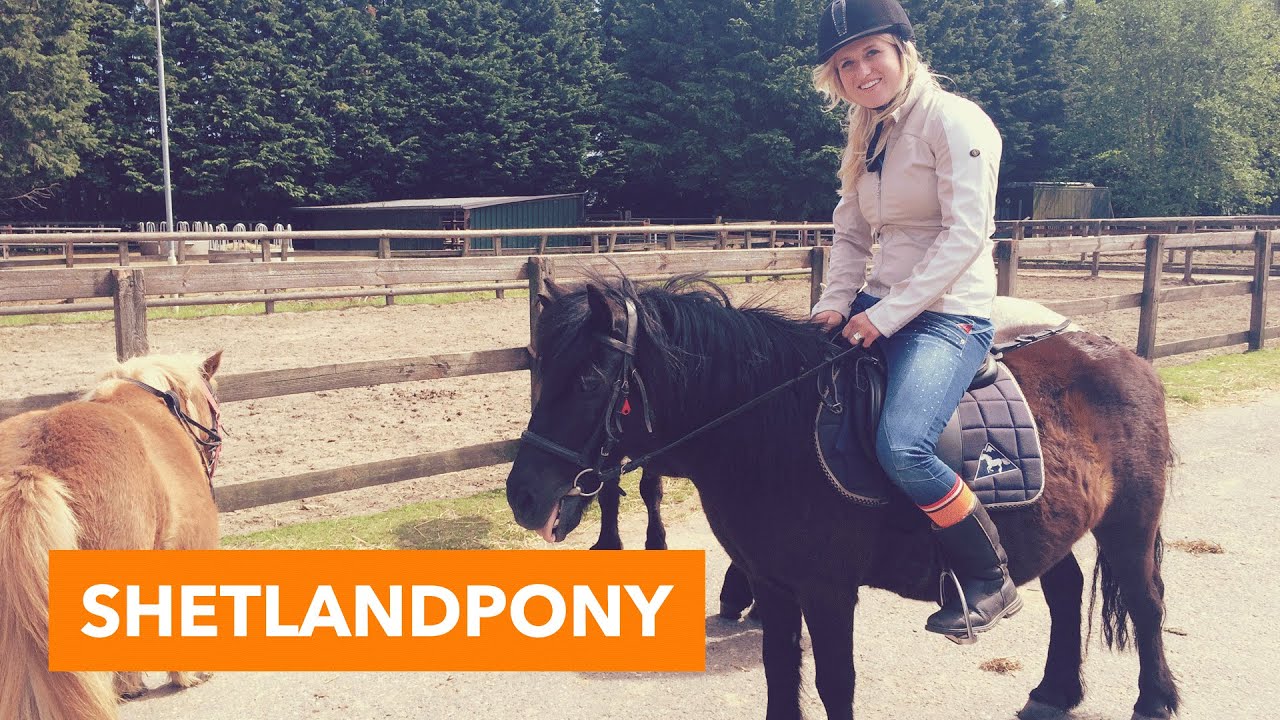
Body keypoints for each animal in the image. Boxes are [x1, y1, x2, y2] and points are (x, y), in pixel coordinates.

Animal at [506, 277, 1179, 720]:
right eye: (541, 370)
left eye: (589, 379)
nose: (523, 495)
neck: (774, 431)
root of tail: (1123, 355)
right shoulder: (774, 583)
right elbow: (782, 675)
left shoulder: (826, 591)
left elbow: (835, 682)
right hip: (1048, 525)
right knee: (1066, 593)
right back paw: (1054, 693)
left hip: (1130, 521)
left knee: (1146, 604)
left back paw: (1155, 699)